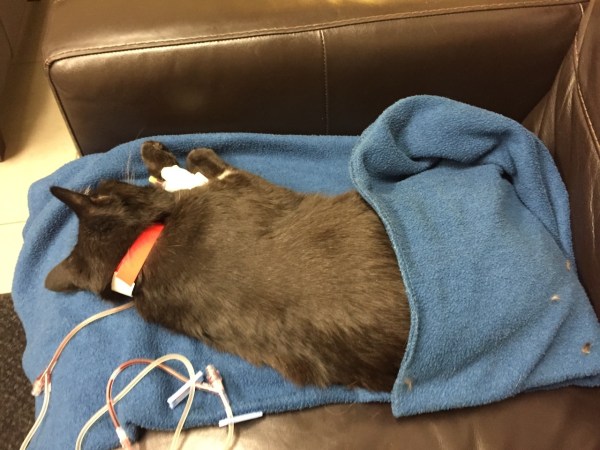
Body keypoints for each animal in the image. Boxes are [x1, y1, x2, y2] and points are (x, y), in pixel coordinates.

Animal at [45, 141, 410, 392]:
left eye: (105, 187)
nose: (107, 180)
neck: (139, 254)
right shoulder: (244, 187)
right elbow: (198, 172)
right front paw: (172, 159)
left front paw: (159, 159)